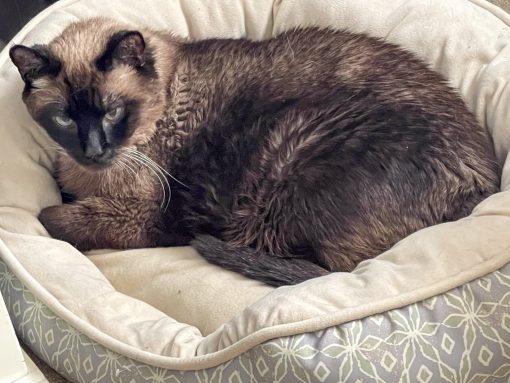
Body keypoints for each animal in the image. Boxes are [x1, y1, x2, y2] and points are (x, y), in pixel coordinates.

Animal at [9, 18, 500, 286]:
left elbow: (54, 217)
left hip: (288, 159)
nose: (93, 149)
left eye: (112, 112)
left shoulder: (149, 218)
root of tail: (482, 185)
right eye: (65, 118)